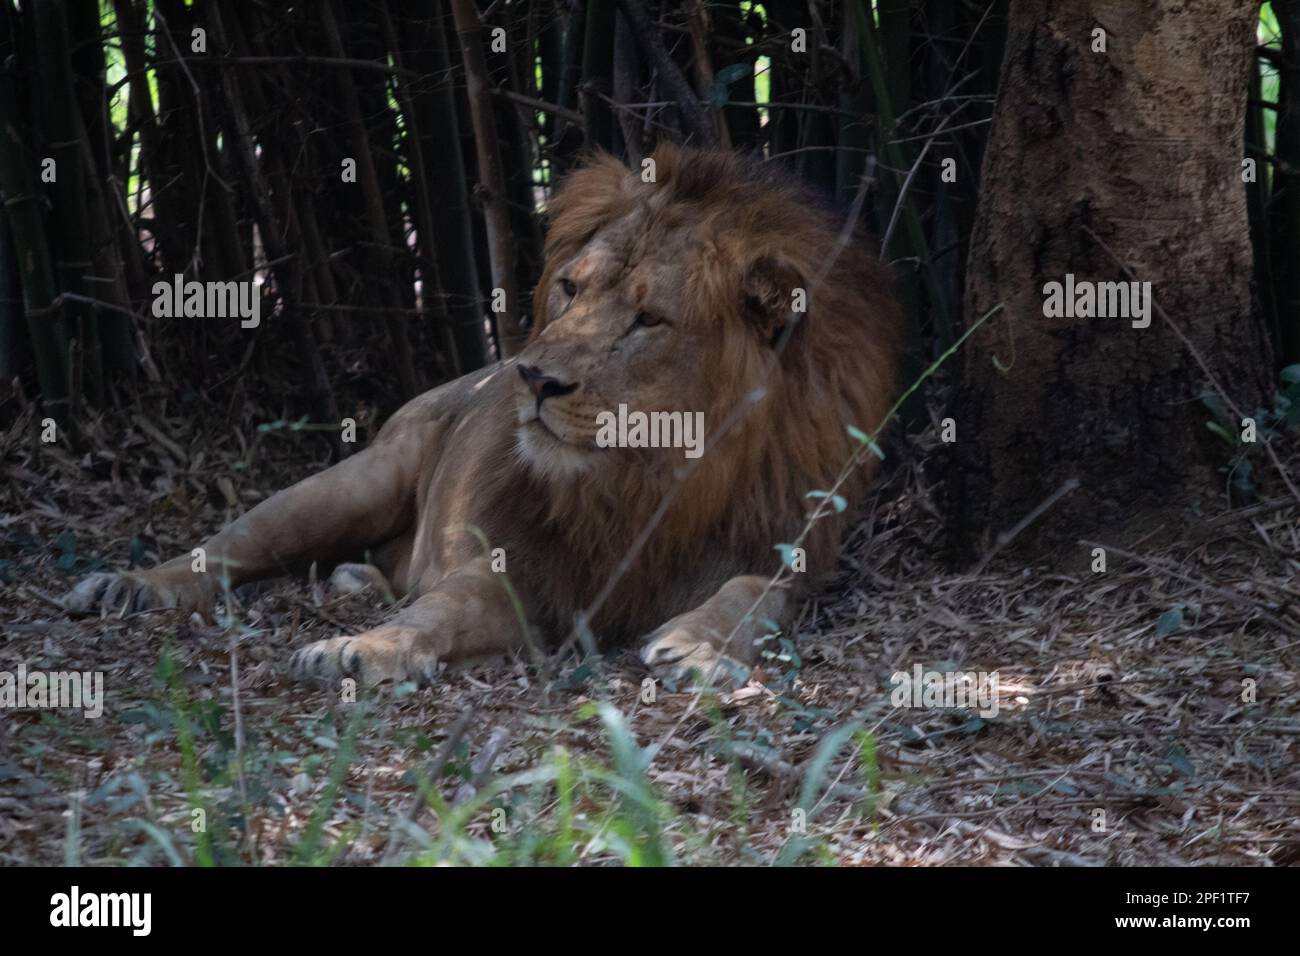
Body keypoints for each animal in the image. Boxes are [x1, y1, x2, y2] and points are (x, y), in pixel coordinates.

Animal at [61, 143, 899, 686]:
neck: (649, 483)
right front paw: (360, 652)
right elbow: (445, 610)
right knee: (234, 544)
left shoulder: (784, 550)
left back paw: (356, 581)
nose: (531, 377)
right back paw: (132, 587)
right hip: (354, 482)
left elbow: (753, 600)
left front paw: (696, 647)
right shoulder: (518, 567)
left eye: (647, 320)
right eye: (570, 288)